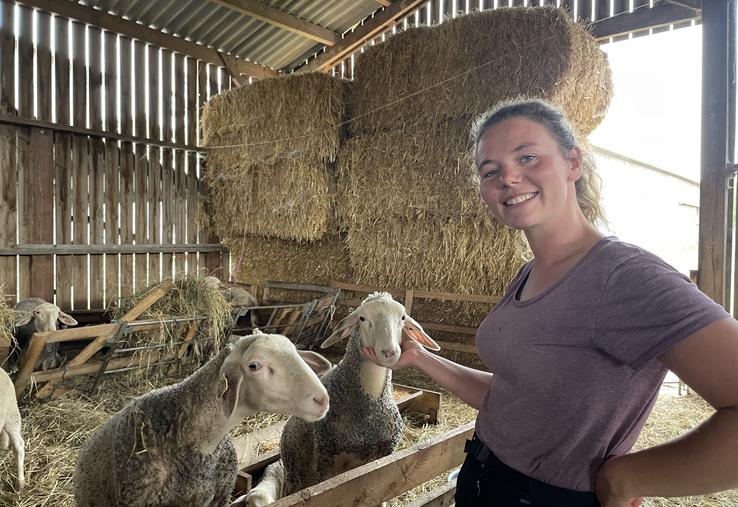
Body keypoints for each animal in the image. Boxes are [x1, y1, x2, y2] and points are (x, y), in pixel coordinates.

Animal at [244, 292, 440, 506]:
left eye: (402, 318)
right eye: (362, 318)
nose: (389, 352)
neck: (367, 405)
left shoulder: (383, 458)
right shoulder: (326, 462)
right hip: (295, 474)